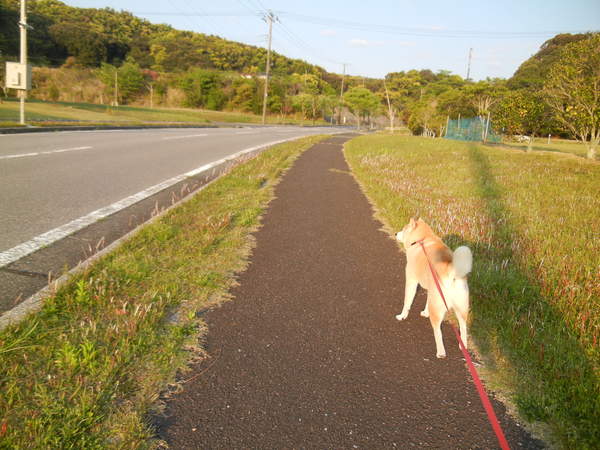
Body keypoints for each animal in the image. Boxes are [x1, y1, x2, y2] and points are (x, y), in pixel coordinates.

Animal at [394, 218, 474, 358]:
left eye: (403, 229)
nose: (395, 234)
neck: (422, 239)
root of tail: (452, 273)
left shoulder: (411, 280)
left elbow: (407, 302)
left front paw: (402, 316)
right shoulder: (431, 288)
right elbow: (426, 302)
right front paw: (425, 312)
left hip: (438, 308)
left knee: (437, 330)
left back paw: (441, 352)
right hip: (461, 307)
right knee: (463, 326)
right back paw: (462, 345)